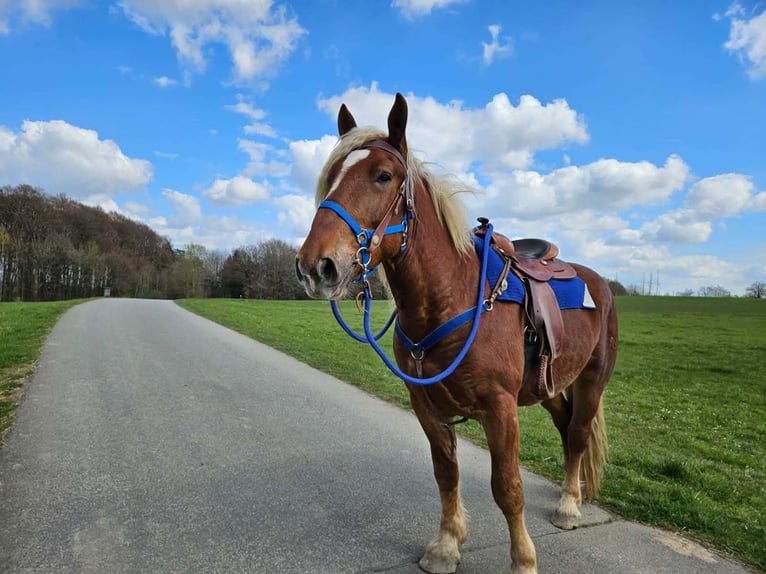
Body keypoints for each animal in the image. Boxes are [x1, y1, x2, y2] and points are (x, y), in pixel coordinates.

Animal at [295, 93, 618, 574]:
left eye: (383, 176)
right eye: (331, 177)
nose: (317, 266)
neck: (452, 298)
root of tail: (598, 282)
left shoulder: (501, 409)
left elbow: (508, 488)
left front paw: (523, 560)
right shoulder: (426, 405)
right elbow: (446, 475)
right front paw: (448, 545)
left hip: (592, 380)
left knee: (578, 433)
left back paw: (568, 505)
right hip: (549, 386)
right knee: (565, 428)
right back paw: (569, 492)